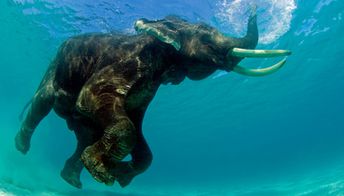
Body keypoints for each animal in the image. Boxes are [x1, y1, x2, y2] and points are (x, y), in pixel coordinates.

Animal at [15, 6, 290, 189]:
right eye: (205, 34)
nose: (253, 10)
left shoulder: (148, 90)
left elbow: (139, 135)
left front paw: (119, 173)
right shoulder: (125, 64)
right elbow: (93, 99)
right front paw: (105, 173)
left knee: (85, 135)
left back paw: (71, 180)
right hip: (53, 70)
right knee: (41, 104)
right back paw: (21, 147)